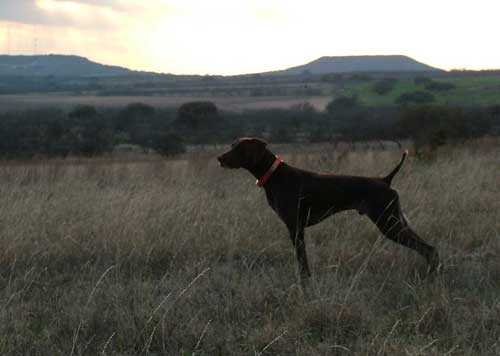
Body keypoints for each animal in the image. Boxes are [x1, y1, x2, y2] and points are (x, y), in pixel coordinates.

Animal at [217, 138, 440, 280]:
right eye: (232, 145)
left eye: (239, 148)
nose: (219, 158)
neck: (275, 175)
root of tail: (386, 180)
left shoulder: (295, 228)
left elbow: (302, 262)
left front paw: (305, 283)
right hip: (395, 221)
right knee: (429, 248)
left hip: (389, 223)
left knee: (428, 249)